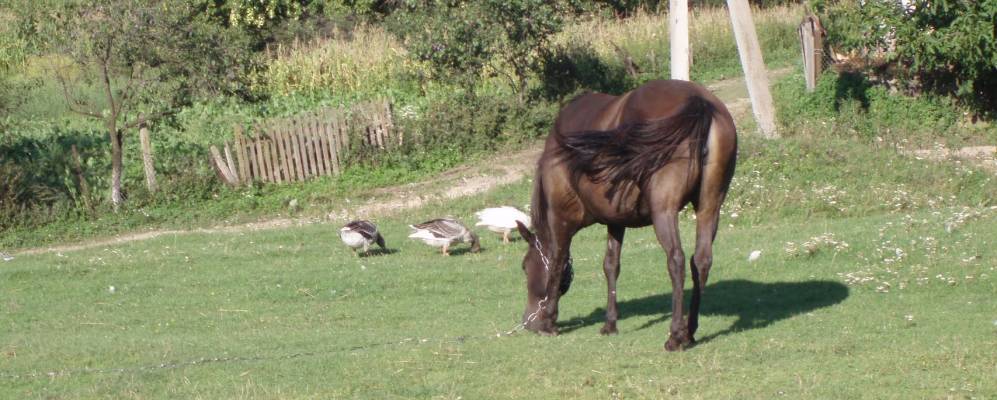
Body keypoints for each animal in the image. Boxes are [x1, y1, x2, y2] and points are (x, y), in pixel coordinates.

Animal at [516, 78, 736, 350]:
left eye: (525, 267)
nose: (527, 321)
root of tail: (700, 102)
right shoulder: (615, 221)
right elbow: (611, 265)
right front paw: (610, 323)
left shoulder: (561, 218)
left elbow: (556, 262)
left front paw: (548, 321)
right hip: (709, 207)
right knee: (701, 260)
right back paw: (690, 331)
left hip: (664, 212)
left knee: (676, 260)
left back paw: (676, 335)